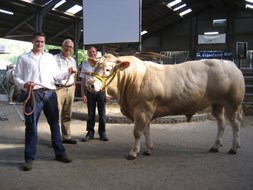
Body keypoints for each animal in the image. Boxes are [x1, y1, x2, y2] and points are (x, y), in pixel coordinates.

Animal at [86, 53, 245, 160]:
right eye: (94, 67)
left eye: (108, 69)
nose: (90, 84)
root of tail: (230, 64)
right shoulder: (146, 110)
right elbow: (146, 131)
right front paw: (148, 149)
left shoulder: (142, 108)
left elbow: (138, 132)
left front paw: (133, 152)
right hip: (217, 104)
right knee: (221, 123)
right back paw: (215, 146)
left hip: (232, 103)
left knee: (235, 124)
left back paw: (233, 148)